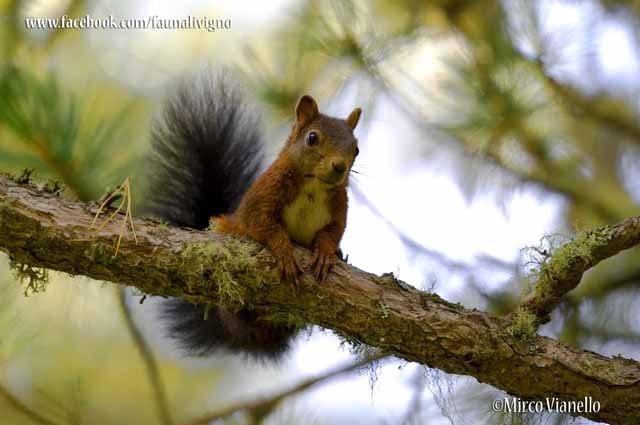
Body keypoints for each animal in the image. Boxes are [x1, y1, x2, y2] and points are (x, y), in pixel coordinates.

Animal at [146, 70, 362, 359]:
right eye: (312, 138)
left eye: (356, 149)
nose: (339, 167)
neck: (314, 187)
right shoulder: (263, 195)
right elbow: (262, 225)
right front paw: (284, 251)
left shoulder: (339, 207)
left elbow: (334, 231)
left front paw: (327, 252)